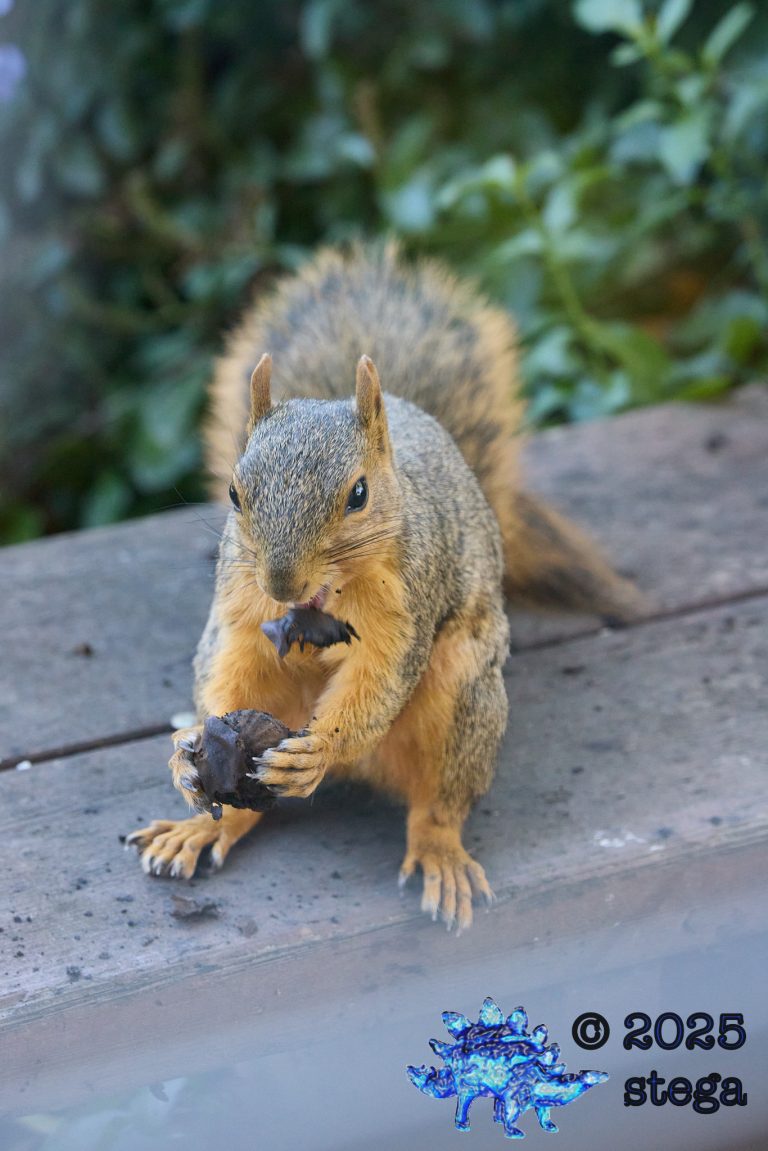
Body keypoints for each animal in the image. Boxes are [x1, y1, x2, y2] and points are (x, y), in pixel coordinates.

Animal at [126, 242, 641, 930]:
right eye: (234, 493)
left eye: (359, 495)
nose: (282, 582)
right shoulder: (240, 605)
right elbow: (230, 662)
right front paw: (187, 752)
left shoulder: (410, 601)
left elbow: (382, 673)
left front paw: (320, 749)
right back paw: (203, 828)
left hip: (461, 694)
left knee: (439, 801)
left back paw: (438, 851)